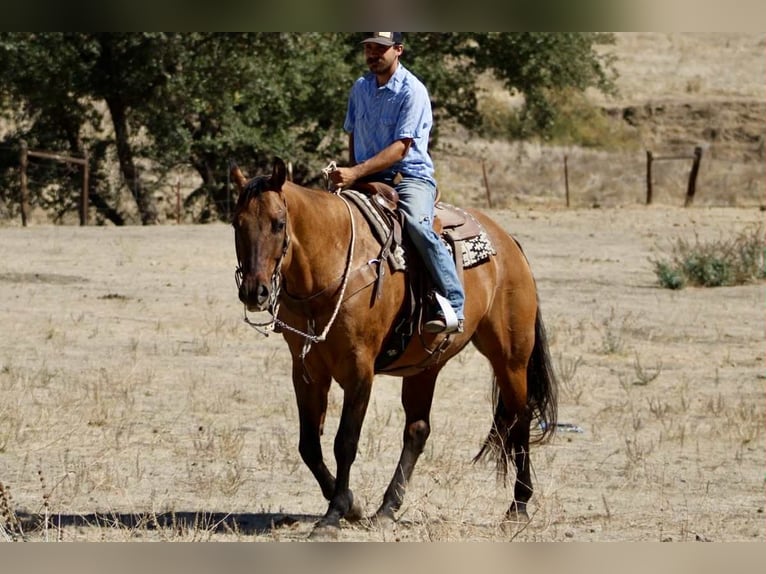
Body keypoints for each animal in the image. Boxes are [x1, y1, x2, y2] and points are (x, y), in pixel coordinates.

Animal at [231, 157, 557, 538]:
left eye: (278, 223)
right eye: (237, 223)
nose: (255, 292)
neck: (331, 264)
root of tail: (509, 243)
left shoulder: (359, 369)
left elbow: (345, 442)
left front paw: (334, 514)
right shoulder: (307, 370)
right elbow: (309, 444)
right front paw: (353, 505)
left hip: (510, 357)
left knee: (521, 417)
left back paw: (518, 506)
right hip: (426, 365)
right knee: (418, 430)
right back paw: (387, 508)